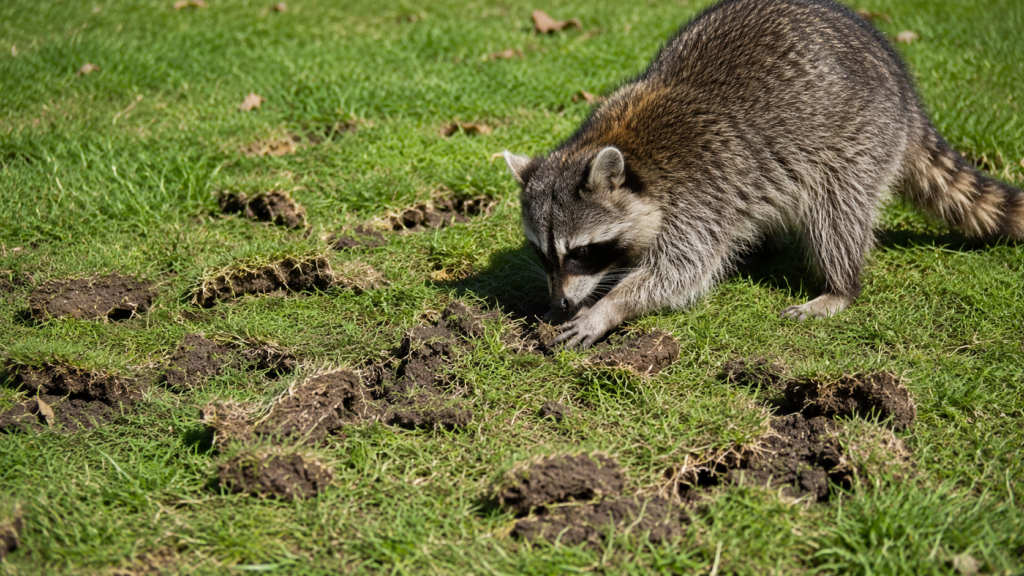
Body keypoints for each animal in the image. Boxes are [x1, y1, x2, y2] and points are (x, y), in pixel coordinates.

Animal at [504, 0, 1024, 348]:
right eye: (542, 253)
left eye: (582, 252)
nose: (562, 303)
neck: (628, 149)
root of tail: (905, 90)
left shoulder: (700, 191)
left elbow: (680, 271)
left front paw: (608, 307)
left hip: (860, 139)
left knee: (837, 213)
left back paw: (840, 287)